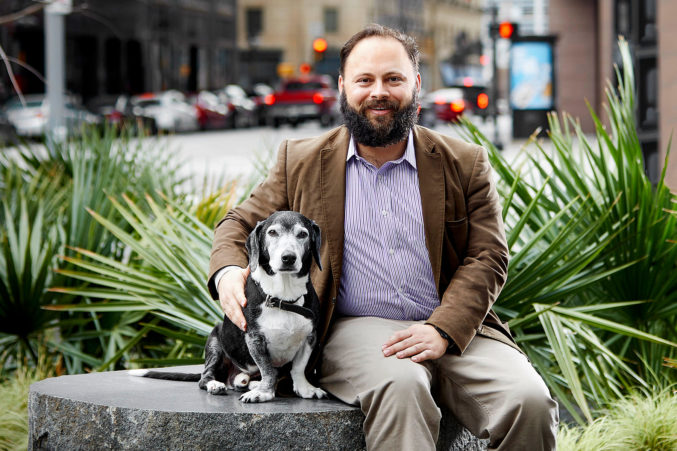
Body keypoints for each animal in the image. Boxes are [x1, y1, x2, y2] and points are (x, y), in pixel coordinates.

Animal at [130, 211, 328, 402]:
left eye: (302, 234)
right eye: (272, 232)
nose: (288, 258)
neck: (283, 298)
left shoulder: (310, 337)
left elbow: (298, 368)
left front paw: (305, 388)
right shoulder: (255, 339)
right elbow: (268, 369)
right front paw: (264, 392)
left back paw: (251, 383)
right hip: (215, 343)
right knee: (205, 377)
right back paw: (216, 384)